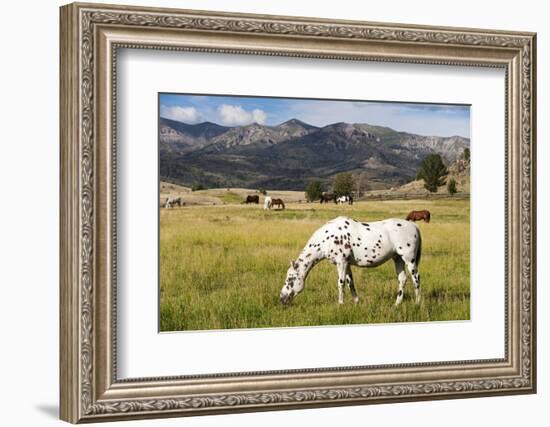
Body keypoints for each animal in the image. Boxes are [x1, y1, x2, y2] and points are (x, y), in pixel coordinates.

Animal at [282, 217, 424, 308]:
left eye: (290, 279)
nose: (281, 298)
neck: (327, 238)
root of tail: (415, 226)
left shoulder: (341, 262)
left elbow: (341, 283)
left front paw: (340, 304)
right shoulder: (347, 264)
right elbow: (351, 283)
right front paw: (356, 302)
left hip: (409, 260)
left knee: (416, 278)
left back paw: (417, 303)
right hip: (398, 259)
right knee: (402, 279)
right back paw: (397, 304)